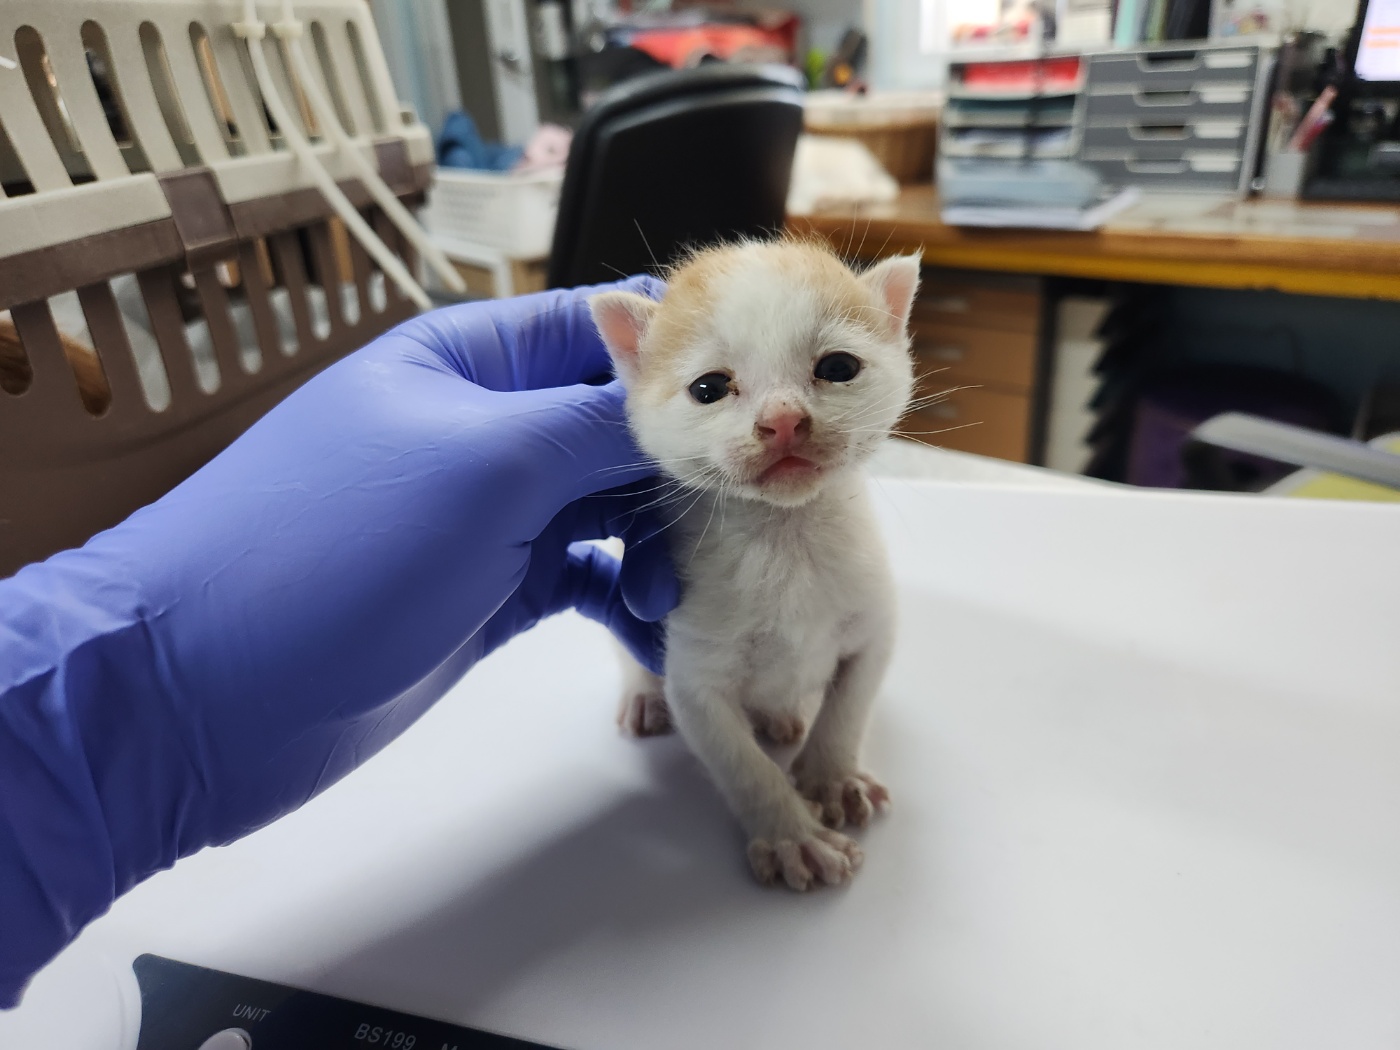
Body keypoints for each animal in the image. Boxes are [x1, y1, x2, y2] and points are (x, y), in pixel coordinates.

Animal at [588, 242, 918, 890]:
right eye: (709, 387)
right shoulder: (696, 680)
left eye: (838, 366)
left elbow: (847, 710)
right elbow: (742, 764)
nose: (784, 419)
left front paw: (832, 777)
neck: (783, 537)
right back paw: (644, 697)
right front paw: (793, 835)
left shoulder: (875, 630)